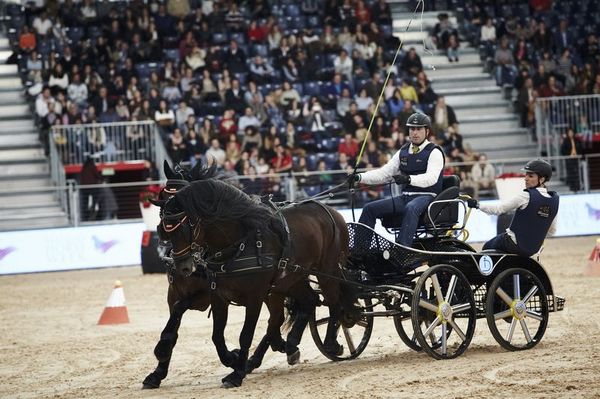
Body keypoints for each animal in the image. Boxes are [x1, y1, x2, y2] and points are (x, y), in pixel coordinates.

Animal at [157, 171, 358, 388]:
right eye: (165, 222)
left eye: (187, 225)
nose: (182, 266)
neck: (237, 245)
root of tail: (331, 210)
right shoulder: (217, 296)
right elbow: (215, 336)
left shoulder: (252, 297)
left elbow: (245, 335)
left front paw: (236, 374)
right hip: (290, 279)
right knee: (308, 302)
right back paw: (288, 344)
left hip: (326, 270)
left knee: (333, 303)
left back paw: (330, 344)